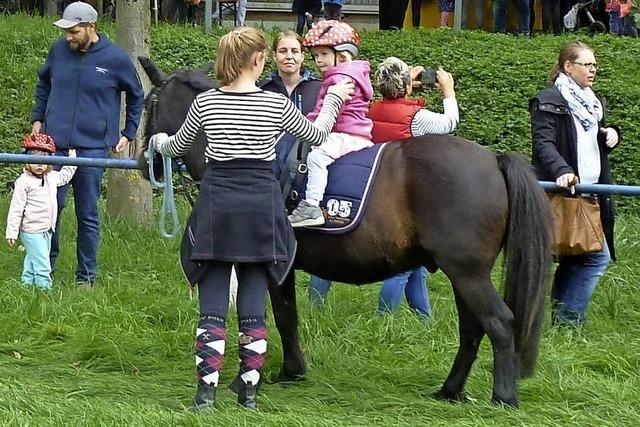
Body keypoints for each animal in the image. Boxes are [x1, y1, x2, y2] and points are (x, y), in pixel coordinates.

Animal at [138, 57, 552, 408]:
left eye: (147, 106)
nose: (144, 162)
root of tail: (493, 160)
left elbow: (276, 316)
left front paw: (263, 377)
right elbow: (287, 315)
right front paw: (291, 371)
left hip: (467, 272)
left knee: (499, 322)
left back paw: (503, 397)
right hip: (464, 274)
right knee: (472, 329)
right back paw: (450, 390)